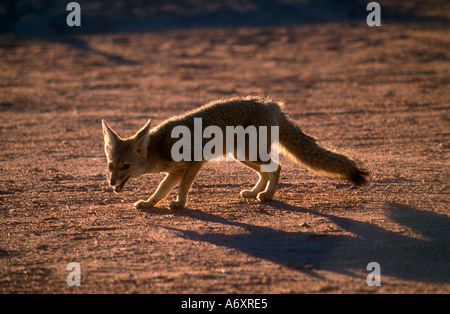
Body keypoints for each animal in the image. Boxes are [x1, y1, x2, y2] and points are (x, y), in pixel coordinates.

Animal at [103, 95, 370, 209]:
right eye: (110, 165)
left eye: (125, 166)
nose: (111, 182)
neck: (159, 146)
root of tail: (272, 105)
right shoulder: (176, 171)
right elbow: (161, 189)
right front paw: (149, 203)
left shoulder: (194, 163)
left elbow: (181, 187)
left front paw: (179, 203)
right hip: (242, 156)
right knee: (267, 171)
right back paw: (254, 193)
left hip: (248, 154)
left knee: (277, 167)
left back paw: (267, 196)